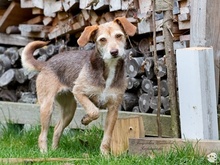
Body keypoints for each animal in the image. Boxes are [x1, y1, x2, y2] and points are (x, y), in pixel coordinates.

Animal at [21, 16, 137, 155]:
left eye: (119, 36)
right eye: (102, 40)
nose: (114, 52)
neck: (108, 69)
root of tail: (46, 63)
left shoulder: (113, 108)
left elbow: (107, 137)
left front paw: (104, 155)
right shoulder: (79, 91)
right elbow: (94, 111)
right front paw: (86, 119)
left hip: (69, 110)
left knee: (57, 129)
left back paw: (55, 151)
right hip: (47, 107)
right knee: (42, 134)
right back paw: (45, 153)